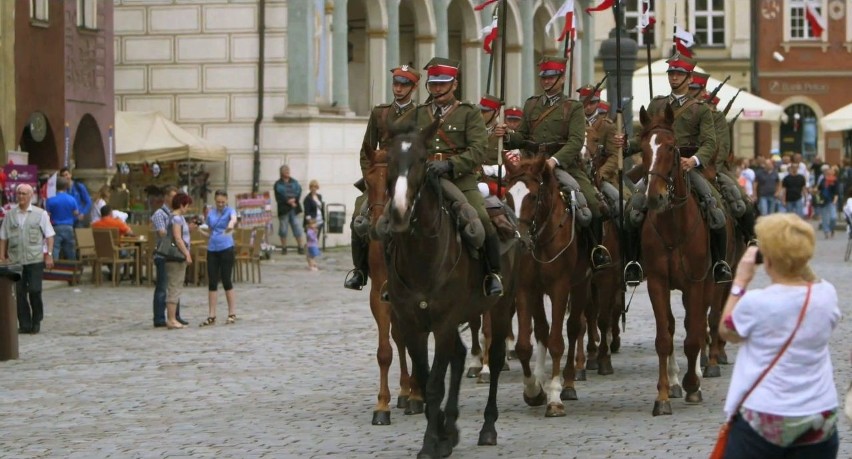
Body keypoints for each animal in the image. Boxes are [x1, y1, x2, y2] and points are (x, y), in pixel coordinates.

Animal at [382, 120, 516, 458]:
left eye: (422, 159)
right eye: (389, 160)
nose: (399, 212)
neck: (422, 255)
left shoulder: (442, 323)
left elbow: (434, 384)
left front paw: (432, 442)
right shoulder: (412, 324)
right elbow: (425, 376)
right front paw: (441, 435)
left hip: (502, 305)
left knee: (495, 359)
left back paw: (488, 427)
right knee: (459, 354)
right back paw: (452, 425)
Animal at [500, 156, 592, 418]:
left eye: (532, 196)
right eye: (508, 196)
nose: (519, 240)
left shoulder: (560, 287)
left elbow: (557, 343)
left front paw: (554, 396)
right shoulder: (526, 288)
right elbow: (524, 344)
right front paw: (533, 390)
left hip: (581, 284)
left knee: (573, 328)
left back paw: (568, 384)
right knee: (542, 329)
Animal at [636, 103, 724, 416]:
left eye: (672, 148)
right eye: (642, 148)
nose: (655, 198)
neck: (674, 226)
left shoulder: (697, 283)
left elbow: (694, 334)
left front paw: (692, 385)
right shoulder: (657, 283)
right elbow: (664, 337)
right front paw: (662, 395)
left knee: (697, 324)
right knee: (677, 326)